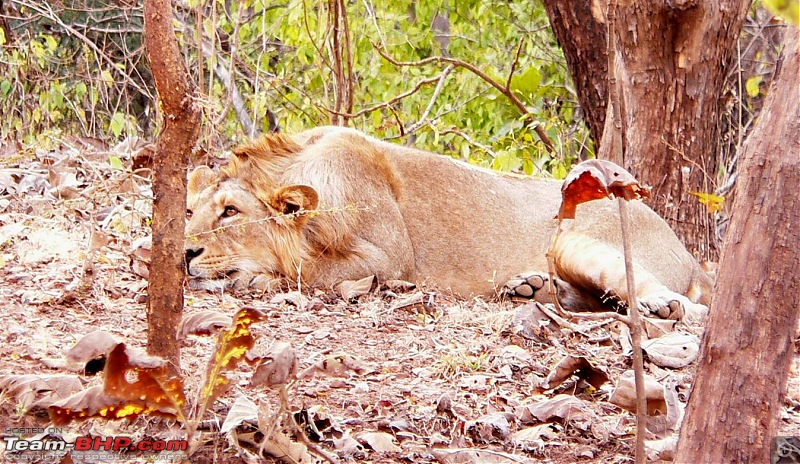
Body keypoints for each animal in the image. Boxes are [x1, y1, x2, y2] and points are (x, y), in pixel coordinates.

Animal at [186, 127, 712, 322]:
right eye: (189, 212)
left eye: (231, 212)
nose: (185, 252)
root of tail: (687, 252)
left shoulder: (388, 260)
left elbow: (307, 271)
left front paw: (251, 278)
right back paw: (530, 288)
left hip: (578, 240)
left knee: (670, 300)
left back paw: (664, 305)